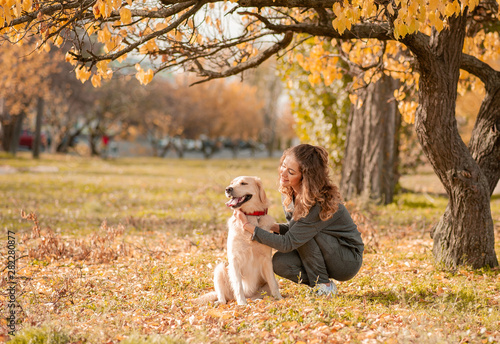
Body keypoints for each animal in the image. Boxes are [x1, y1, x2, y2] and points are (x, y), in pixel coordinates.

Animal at [195, 176, 282, 306]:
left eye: (243, 183)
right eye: (231, 183)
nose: (228, 189)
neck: (251, 216)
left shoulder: (266, 259)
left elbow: (273, 283)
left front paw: (280, 299)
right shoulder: (234, 259)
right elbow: (238, 285)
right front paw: (242, 303)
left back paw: (256, 300)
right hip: (220, 269)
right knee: (223, 299)